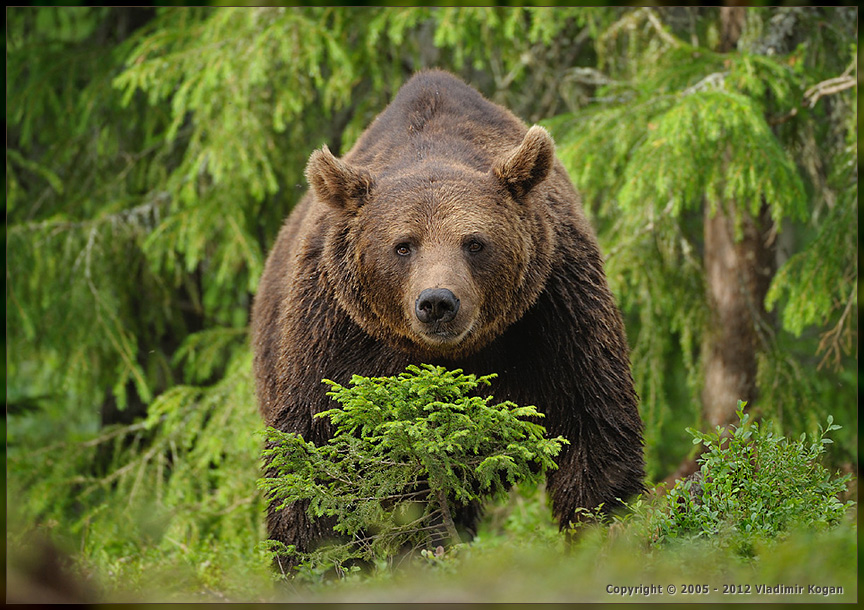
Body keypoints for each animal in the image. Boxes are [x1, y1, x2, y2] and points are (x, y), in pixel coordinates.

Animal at [250, 69, 640, 560]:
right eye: (403, 245)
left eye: (474, 242)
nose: (438, 302)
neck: (451, 356)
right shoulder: (338, 332)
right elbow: (317, 449)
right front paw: (315, 556)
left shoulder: (555, 310)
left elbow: (594, 424)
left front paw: (600, 533)